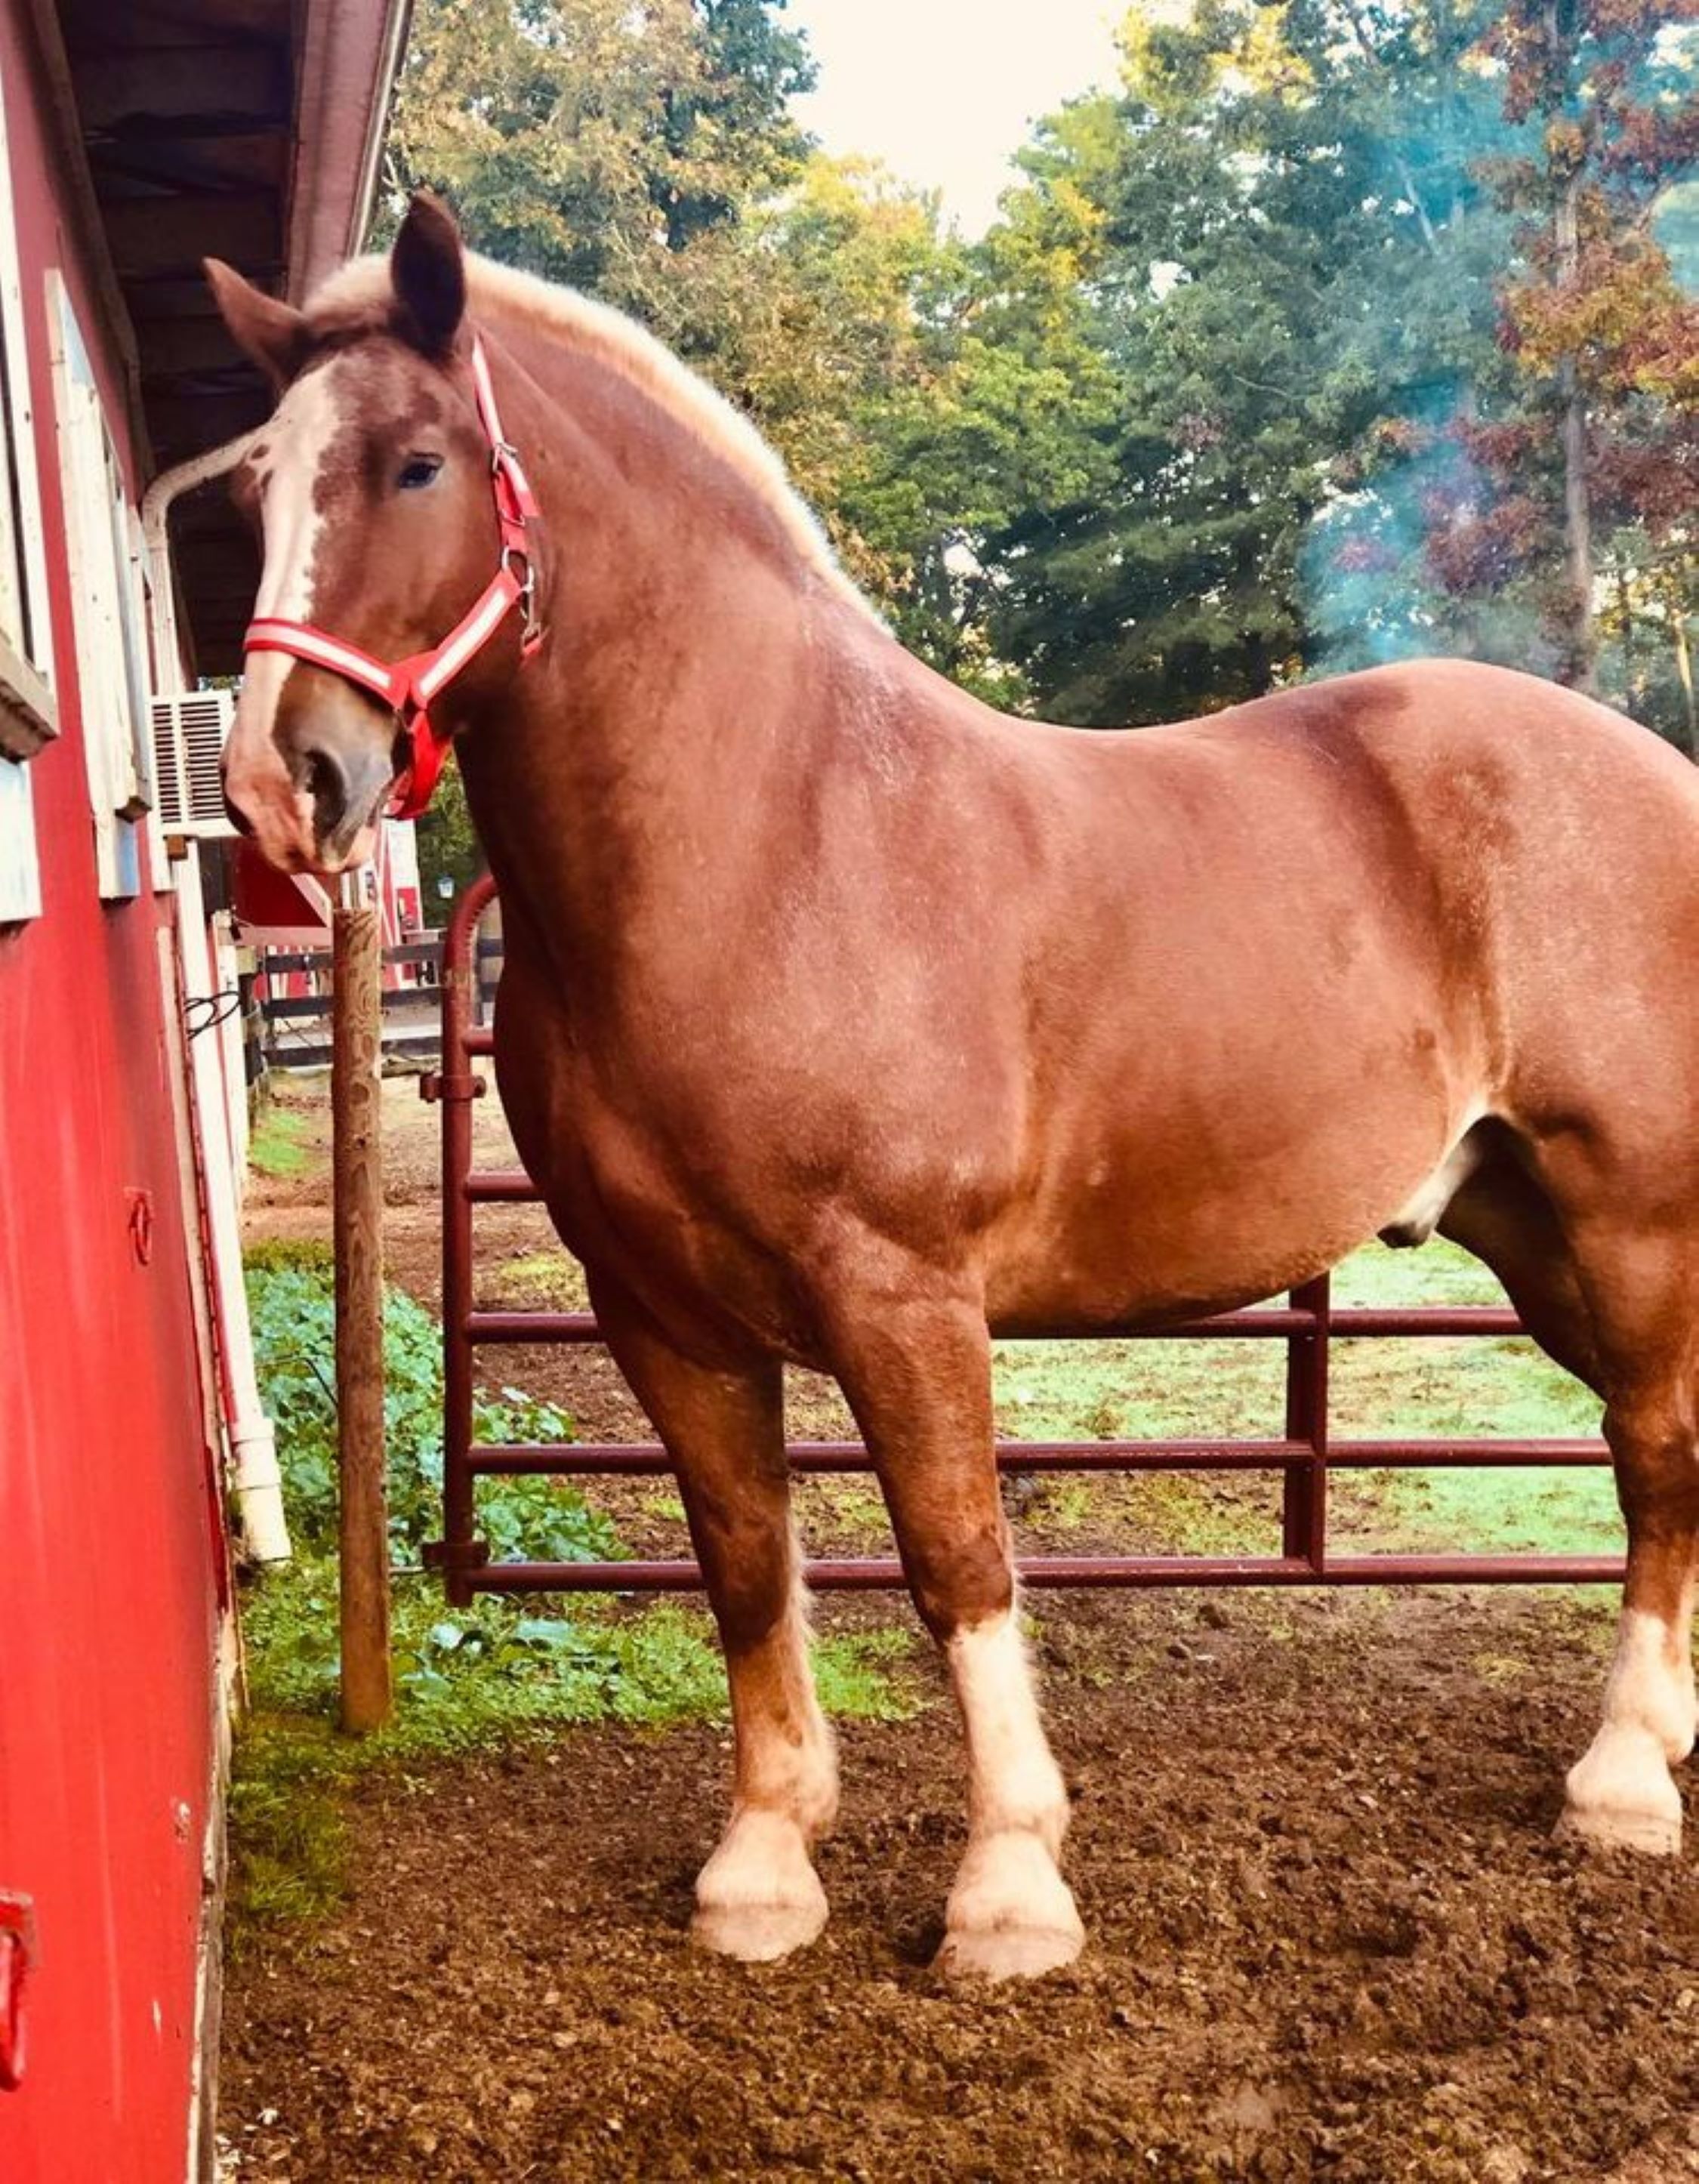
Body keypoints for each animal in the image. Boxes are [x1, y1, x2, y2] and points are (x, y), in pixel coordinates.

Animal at [212, 194, 1699, 1981]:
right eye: (254, 489)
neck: (772, 841)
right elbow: (745, 1561)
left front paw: (1007, 1891)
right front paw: (762, 1867)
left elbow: (954, 1564)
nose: (279, 786)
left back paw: (1621, 1781)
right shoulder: (660, 1312)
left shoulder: (902, 1295)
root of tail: (1656, 774)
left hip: (1630, 1223)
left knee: (1656, 1456)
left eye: (418, 463)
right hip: (1533, 1233)